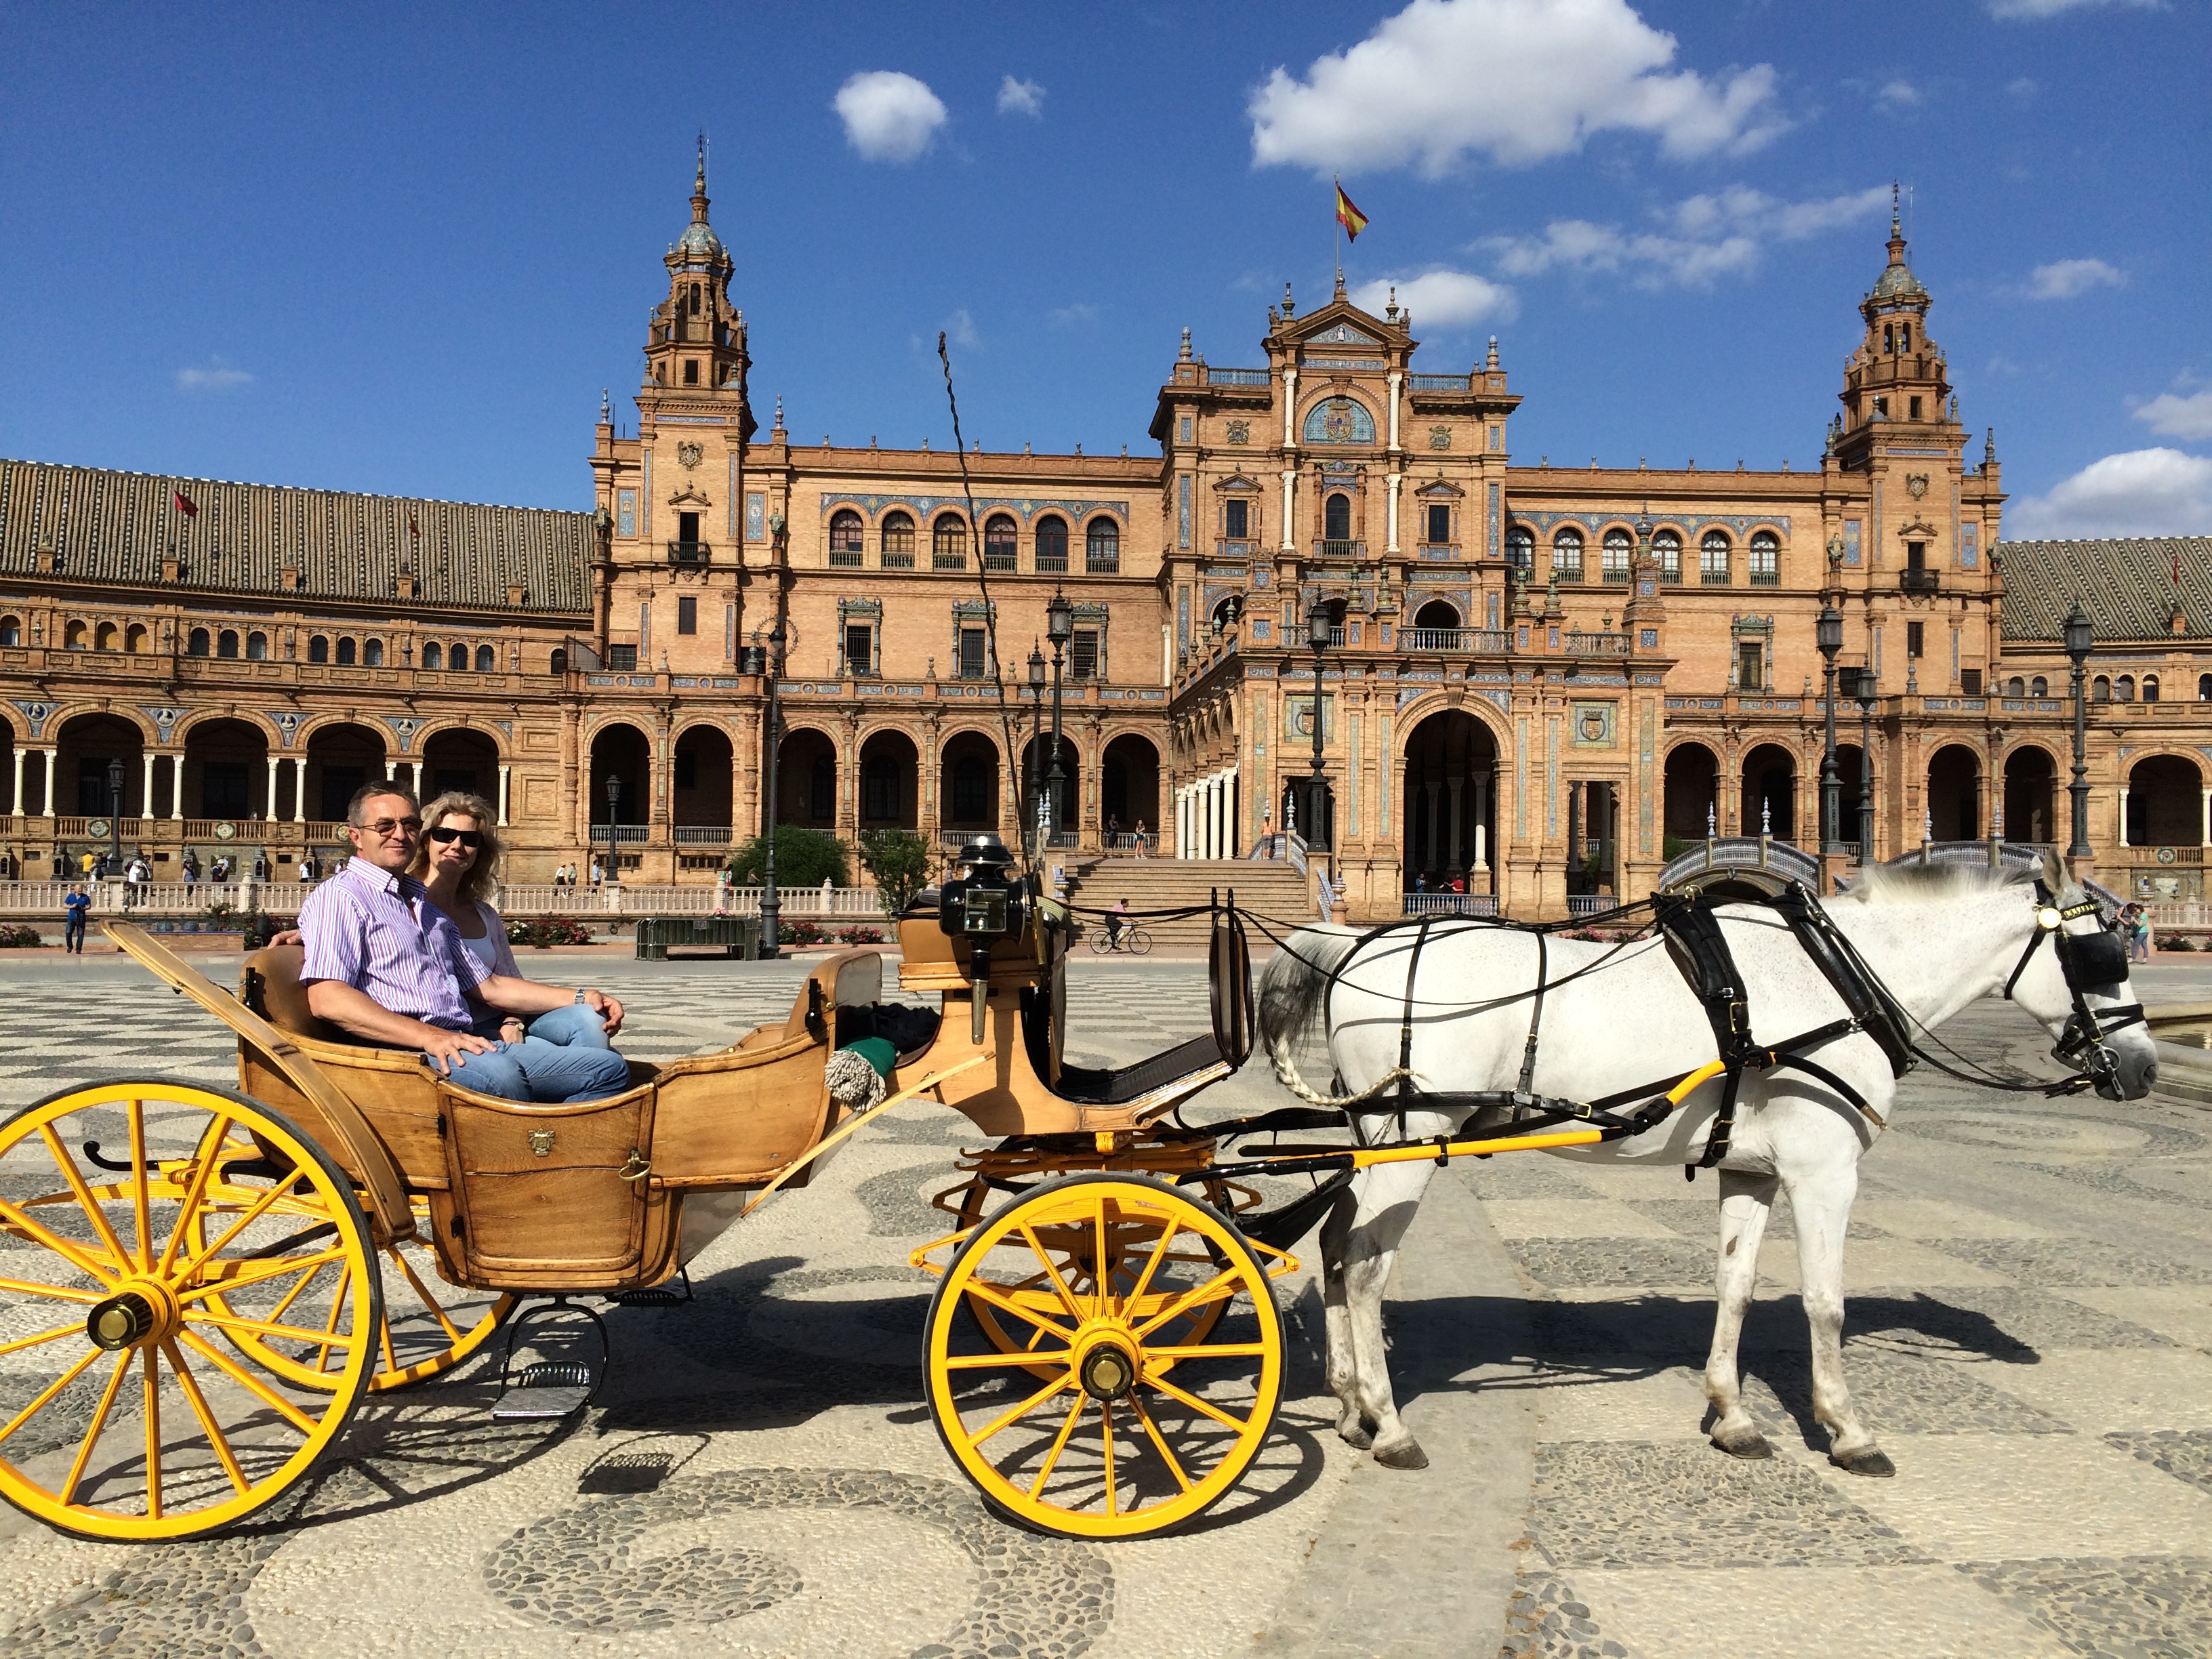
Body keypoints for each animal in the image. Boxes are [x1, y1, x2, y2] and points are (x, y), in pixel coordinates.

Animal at [1265, 858, 2158, 1477]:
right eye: (2101, 956)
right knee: (1368, 1270)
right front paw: (1848, 1430)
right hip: (1412, 1142)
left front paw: (1732, 1415)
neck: (1841, 976)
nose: (2145, 1068)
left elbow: (1736, 1285)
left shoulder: (1752, 1171)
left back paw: (1350, 1406)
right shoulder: (1825, 1171)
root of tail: (1353, 942)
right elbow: (1826, 1305)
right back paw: (1391, 1425)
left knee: (1337, 1250)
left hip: (1374, 1137)